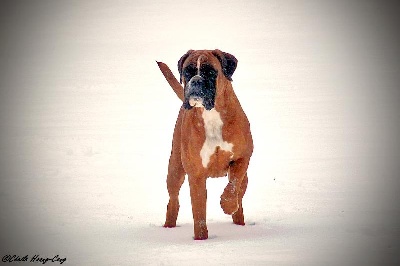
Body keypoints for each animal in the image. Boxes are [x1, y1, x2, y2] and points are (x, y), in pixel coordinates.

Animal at [161, 48, 252, 240]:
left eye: (210, 71)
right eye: (187, 71)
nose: (195, 80)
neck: (212, 114)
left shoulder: (242, 158)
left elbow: (233, 186)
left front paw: (227, 205)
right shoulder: (196, 175)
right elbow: (199, 213)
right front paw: (201, 239)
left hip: (246, 178)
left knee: (240, 194)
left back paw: (239, 222)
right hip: (175, 171)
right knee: (173, 200)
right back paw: (168, 227)